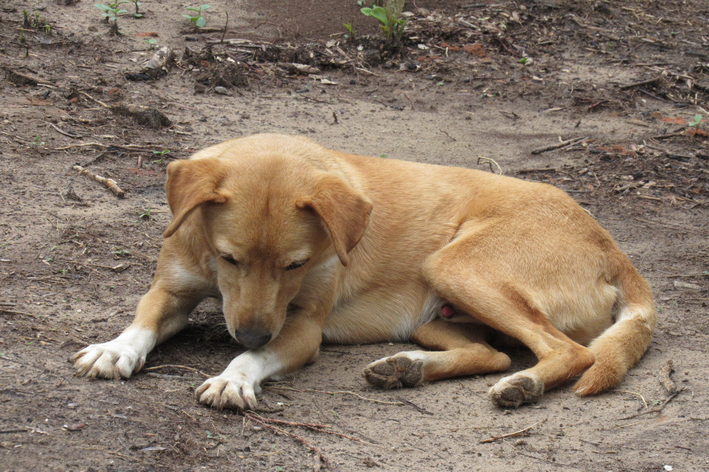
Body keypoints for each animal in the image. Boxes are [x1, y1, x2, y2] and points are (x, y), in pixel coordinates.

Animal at [69, 134, 656, 410]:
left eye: (296, 264)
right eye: (229, 257)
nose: (253, 331)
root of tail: (611, 246)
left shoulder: (301, 329)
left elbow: (253, 358)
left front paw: (234, 377)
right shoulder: (171, 289)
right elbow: (142, 322)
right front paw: (114, 349)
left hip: (457, 266)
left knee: (569, 352)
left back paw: (523, 384)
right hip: (438, 312)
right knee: (492, 353)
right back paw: (406, 368)